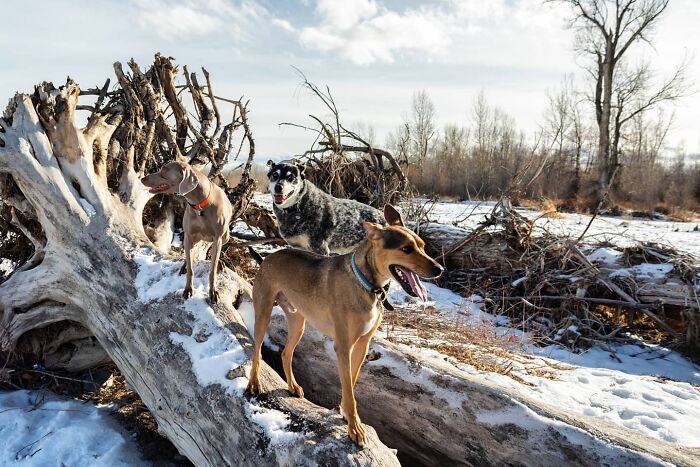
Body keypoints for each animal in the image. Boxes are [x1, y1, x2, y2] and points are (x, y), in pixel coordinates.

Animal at [247, 207, 442, 448]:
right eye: (406, 249)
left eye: (422, 246)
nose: (439, 269)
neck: (367, 284)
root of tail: (267, 257)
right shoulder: (343, 347)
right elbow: (350, 391)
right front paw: (354, 427)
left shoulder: (362, 345)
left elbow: (351, 382)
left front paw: (345, 413)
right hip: (263, 313)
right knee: (256, 352)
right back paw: (254, 383)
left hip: (298, 322)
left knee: (285, 353)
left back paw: (293, 385)